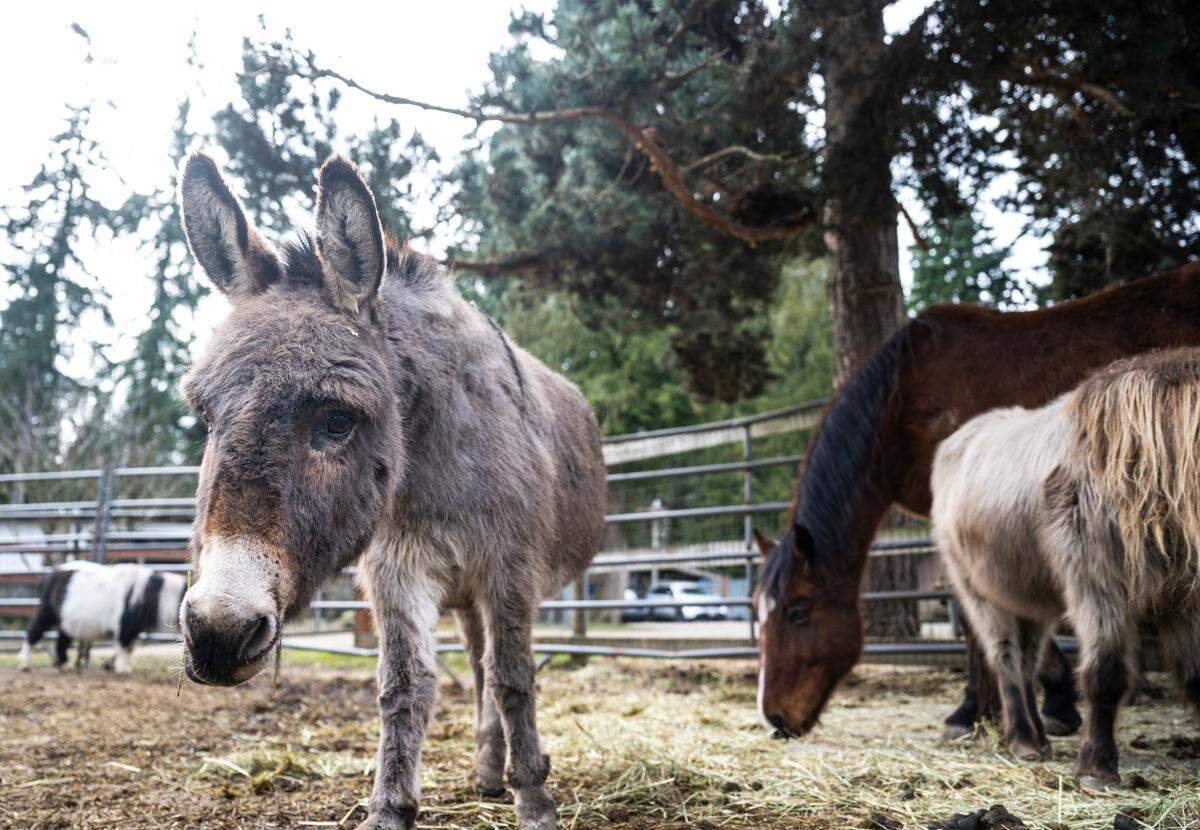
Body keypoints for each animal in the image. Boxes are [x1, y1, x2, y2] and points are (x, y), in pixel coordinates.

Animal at [18, 560, 185, 673]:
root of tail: (48, 577)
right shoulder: (125, 626)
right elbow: (124, 647)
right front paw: (123, 670)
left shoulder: (133, 629)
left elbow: (130, 648)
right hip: (46, 612)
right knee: (34, 632)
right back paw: (25, 664)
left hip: (65, 621)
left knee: (62, 641)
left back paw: (66, 666)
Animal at [175, 153, 606, 830]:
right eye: (206, 416)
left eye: (337, 421)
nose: (218, 633)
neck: (425, 465)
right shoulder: (397, 568)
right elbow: (405, 687)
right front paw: (391, 808)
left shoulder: (509, 565)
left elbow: (515, 678)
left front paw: (536, 801)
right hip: (463, 596)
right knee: (475, 667)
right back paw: (487, 772)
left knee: (492, 670)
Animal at [931, 348, 1200, 787]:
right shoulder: (1095, 581)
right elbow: (1105, 671)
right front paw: (1096, 767)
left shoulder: (1185, 596)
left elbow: (1196, 673)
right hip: (977, 589)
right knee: (1005, 657)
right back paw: (1023, 740)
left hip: (1029, 595)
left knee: (1026, 659)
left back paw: (1037, 739)